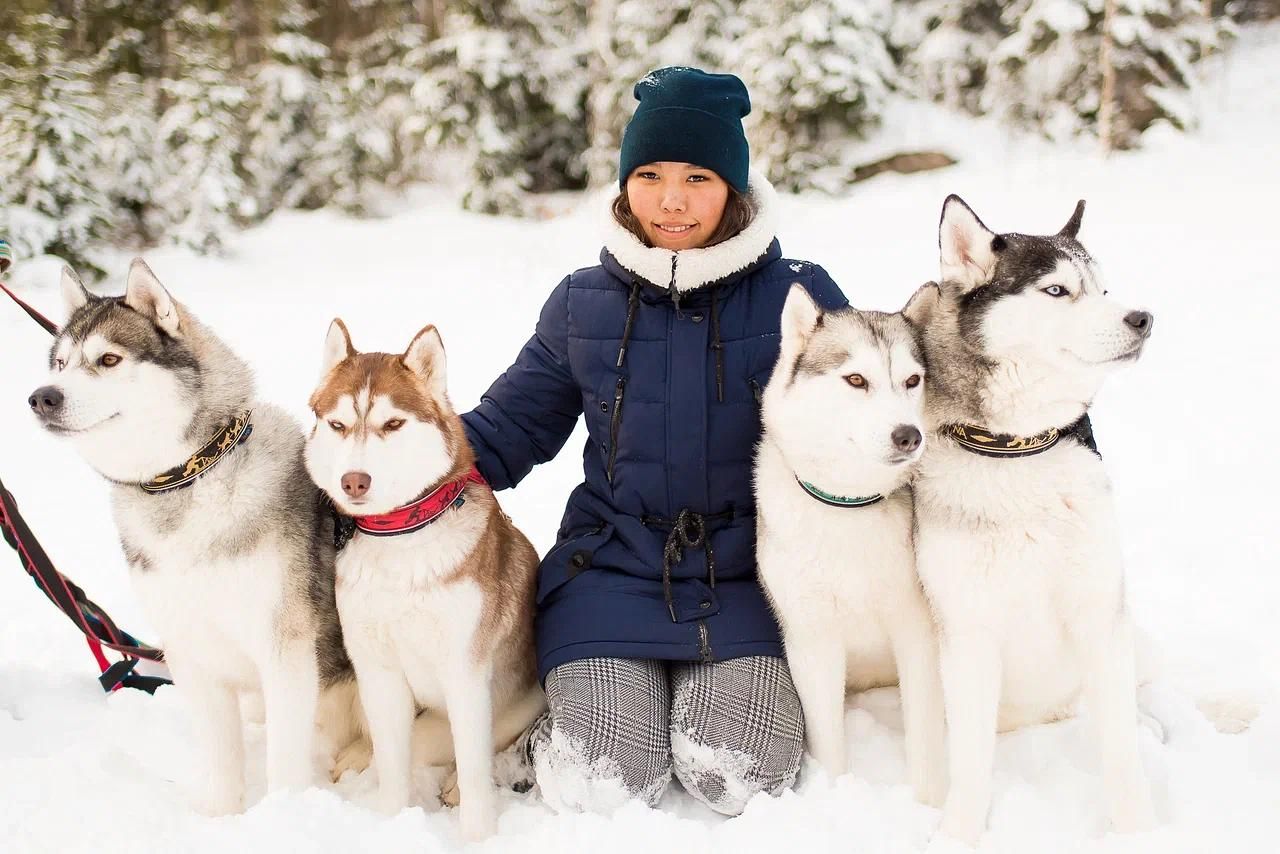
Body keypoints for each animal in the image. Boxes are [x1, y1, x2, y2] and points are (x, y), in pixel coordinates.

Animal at [30, 261, 350, 814]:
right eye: (61, 363)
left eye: (108, 359)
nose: (42, 396)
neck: (188, 476)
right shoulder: (190, 650)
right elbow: (221, 754)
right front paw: (221, 815)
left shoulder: (285, 651)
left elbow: (285, 760)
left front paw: (282, 816)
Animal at [305, 317, 545, 839]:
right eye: (338, 425)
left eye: (392, 424)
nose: (354, 480)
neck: (401, 540)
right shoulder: (378, 673)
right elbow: (393, 766)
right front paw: (392, 824)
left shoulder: (465, 672)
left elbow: (473, 768)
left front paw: (477, 836)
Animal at [752, 285, 947, 809]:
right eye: (856, 379)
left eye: (912, 380)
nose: (909, 435)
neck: (849, 506)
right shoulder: (813, 641)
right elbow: (830, 745)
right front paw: (836, 799)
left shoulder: (917, 634)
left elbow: (924, 741)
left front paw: (925, 806)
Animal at [911, 197, 1162, 845]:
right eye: (1056, 290)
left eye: (1104, 289)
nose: (1143, 318)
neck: (1018, 449)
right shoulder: (968, 635)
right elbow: (971, 763)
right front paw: (957, 836)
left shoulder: (1100, 613)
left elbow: (1121, 754)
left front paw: (1140, 833)